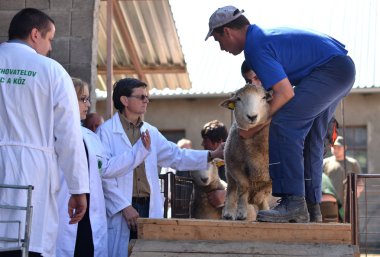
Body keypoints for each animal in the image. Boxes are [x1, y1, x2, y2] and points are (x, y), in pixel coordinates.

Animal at [220, 84, 274, 220]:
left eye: (264, 97)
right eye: (238, 99)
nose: (252, 116)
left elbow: (267, 189)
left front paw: (258, 199)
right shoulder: (234, 166)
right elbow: (243, 186)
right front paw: (241, 212)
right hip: (228, 171)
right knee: (231, 189)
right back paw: (228, 212)